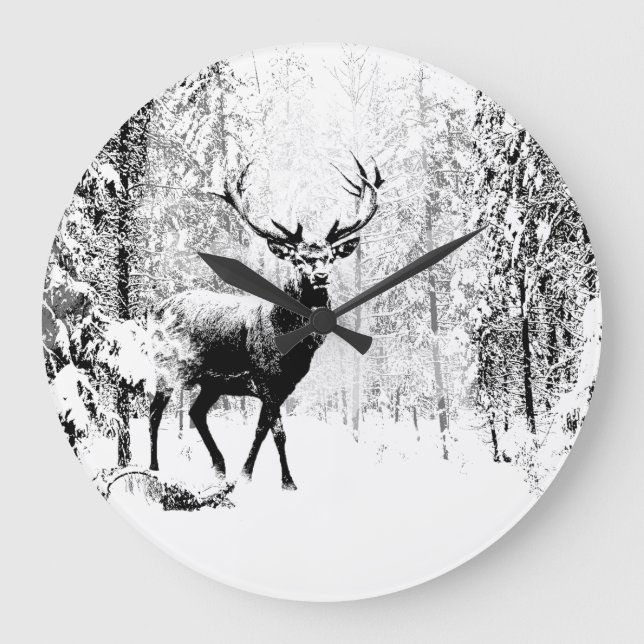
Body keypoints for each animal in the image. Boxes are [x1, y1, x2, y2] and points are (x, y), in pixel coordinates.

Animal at [148, 156, 384, 490]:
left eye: (330, 257)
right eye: (298, 259)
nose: (321, 276)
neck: (292, 345)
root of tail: (155, 309)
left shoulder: (284, 386)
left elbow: (271, 432)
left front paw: (268, 479)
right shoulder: (265, 379)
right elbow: (272, 431)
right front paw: (267, 478)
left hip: (212, 383)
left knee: (196, 412)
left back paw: (219, 466)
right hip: (166, 367)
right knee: (154, 413)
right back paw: (154, 467)